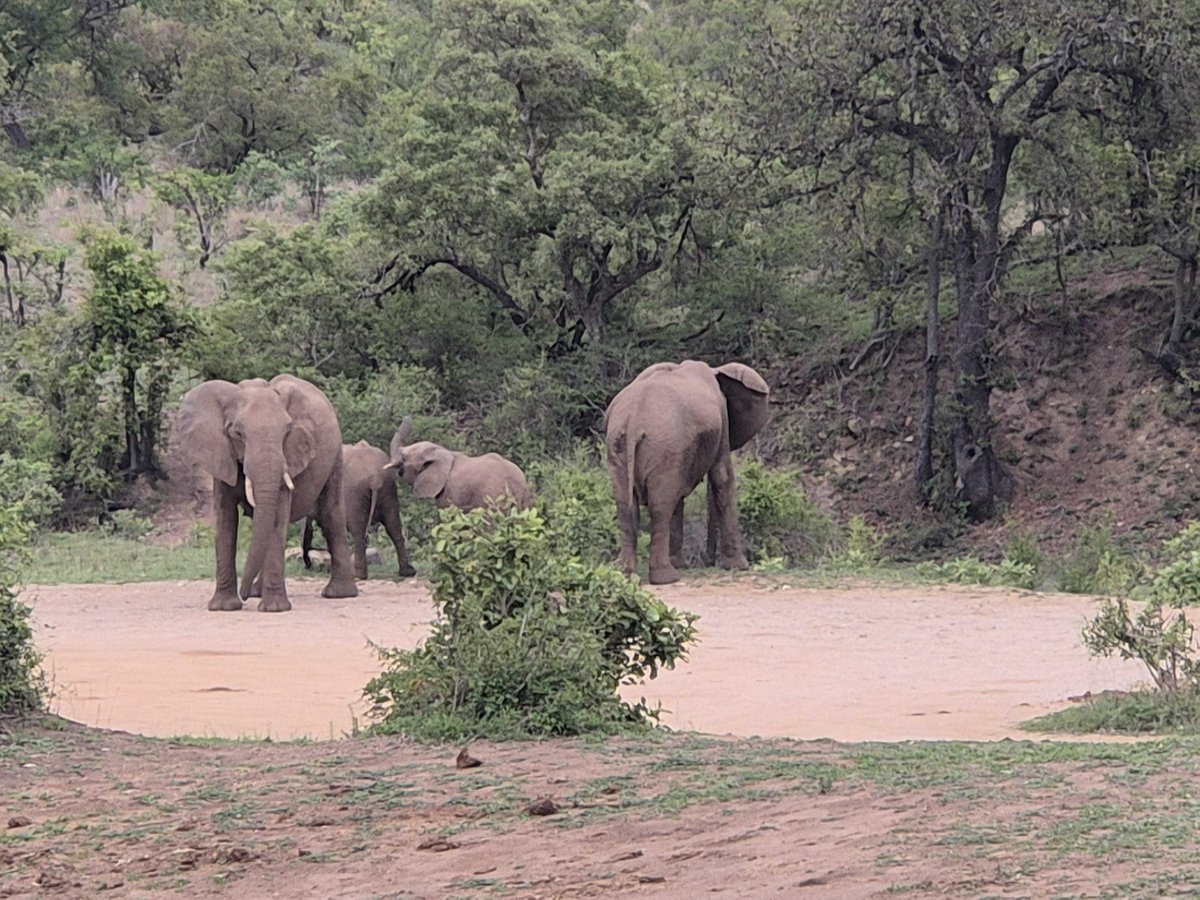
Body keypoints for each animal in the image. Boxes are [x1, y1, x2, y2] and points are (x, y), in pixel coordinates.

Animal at [175, 374, 358, 612]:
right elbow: (226, 521)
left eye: (287, 432)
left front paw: (274, 609)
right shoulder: (222, 456)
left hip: (336, 454)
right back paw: (257, 592)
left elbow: (277, 519)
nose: (243, 595)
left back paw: (338, 594)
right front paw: (224, 607)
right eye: (237, 433)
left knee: (330, 514)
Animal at [301, 437, 417, 580]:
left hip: (355, 494)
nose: (308, 566)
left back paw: (358, 575)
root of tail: (375, 479)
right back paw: (408, 572)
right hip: (389, 491)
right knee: (394, 528)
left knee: (359, 532)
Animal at [604, 360, 770, 585]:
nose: (708, 561)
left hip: (619, 447)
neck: (716, 371)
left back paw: (628, 576)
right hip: (663, 446)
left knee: (626, 506)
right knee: (660, 507)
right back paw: (666, 578)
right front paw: (740, 566)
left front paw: (681, 564)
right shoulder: (721, 419)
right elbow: (722, 476)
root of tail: (633, 421)